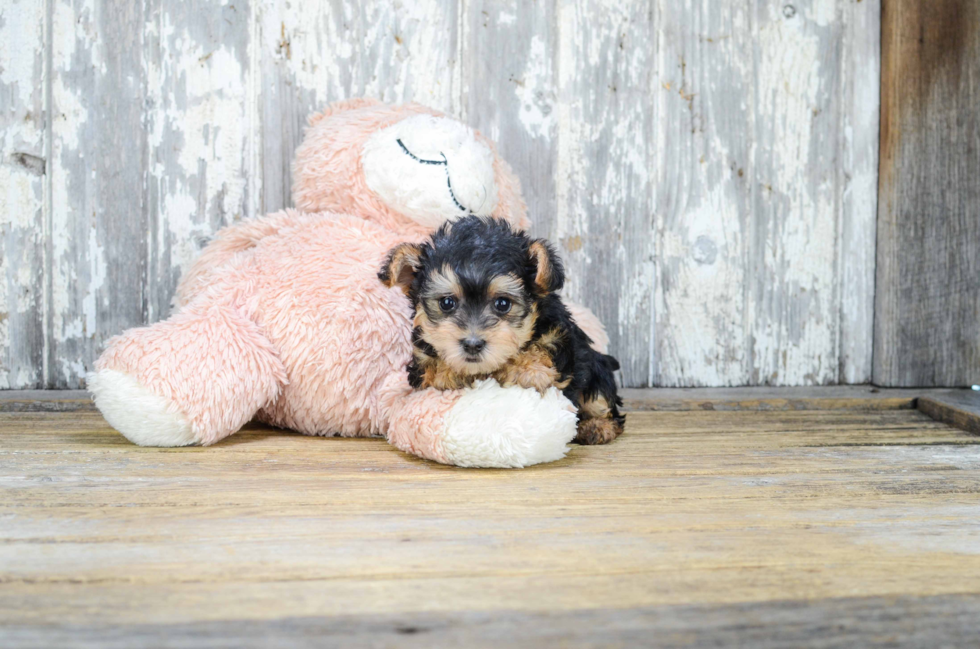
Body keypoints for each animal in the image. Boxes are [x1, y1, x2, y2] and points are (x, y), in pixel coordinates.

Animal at [378, 215, 624, 442]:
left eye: (503, 304)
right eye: (447, 303)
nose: (472, 344)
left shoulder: (560, 340)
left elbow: (541, 356)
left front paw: (528, 370)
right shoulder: (422, 363)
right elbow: (434, 371)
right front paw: (450, 373)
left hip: (597, 370)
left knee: (603, 403)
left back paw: (597, 427)